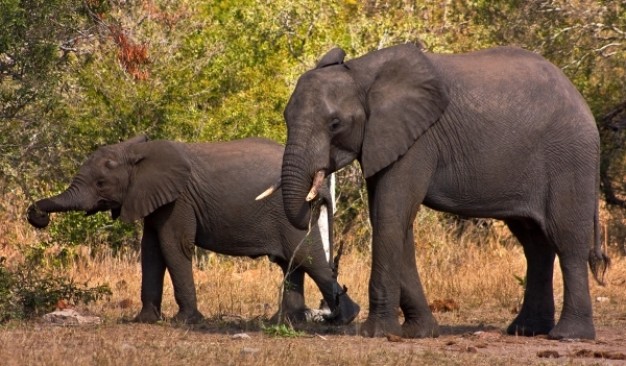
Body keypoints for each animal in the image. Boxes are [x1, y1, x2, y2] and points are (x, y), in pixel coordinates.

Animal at [25, 137, 356, 326]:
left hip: (291, 213)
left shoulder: (179, 200)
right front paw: (143, 321)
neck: (137, 151)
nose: (36, 215)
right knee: (292, 262)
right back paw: (285, 322)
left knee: (306, 257)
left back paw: (344, 318)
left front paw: (185, 321)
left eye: (101, 183)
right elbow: (151, 251)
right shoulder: (153, 199)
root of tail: (319, 180)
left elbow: (174, 246)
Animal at [276, 43, 608, 340]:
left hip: (569, 158)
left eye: (335, 124)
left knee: (567, 240)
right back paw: (526, 331)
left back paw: (569, 336)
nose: (316, 196)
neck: (361, 74)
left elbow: (391, 216)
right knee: (535, 243)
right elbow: (395, 220)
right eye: (285, 118)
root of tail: (581, 100)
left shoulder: (418, 141)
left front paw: (377, 333)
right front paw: (420, 333)